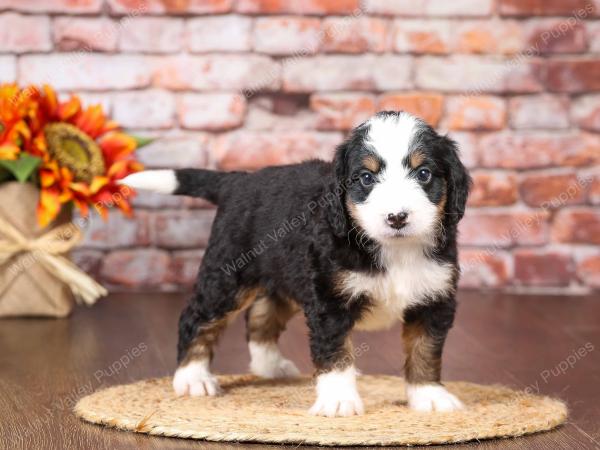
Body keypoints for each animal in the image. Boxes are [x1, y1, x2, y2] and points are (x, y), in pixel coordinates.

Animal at [122, 110, 472, 416]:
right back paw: (193, 377)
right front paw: (338, 401)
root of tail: (238, 182)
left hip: (283, 276)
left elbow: (425, 349)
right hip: (228, 277)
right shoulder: (329, 301)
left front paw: (428, 395)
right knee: (196, 317)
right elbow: (335, 354)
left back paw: (270, 366)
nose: (397, 217)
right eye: (366, 178)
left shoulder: (434, 298)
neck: (394, 250)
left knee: (260, 318)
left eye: (424, 173)